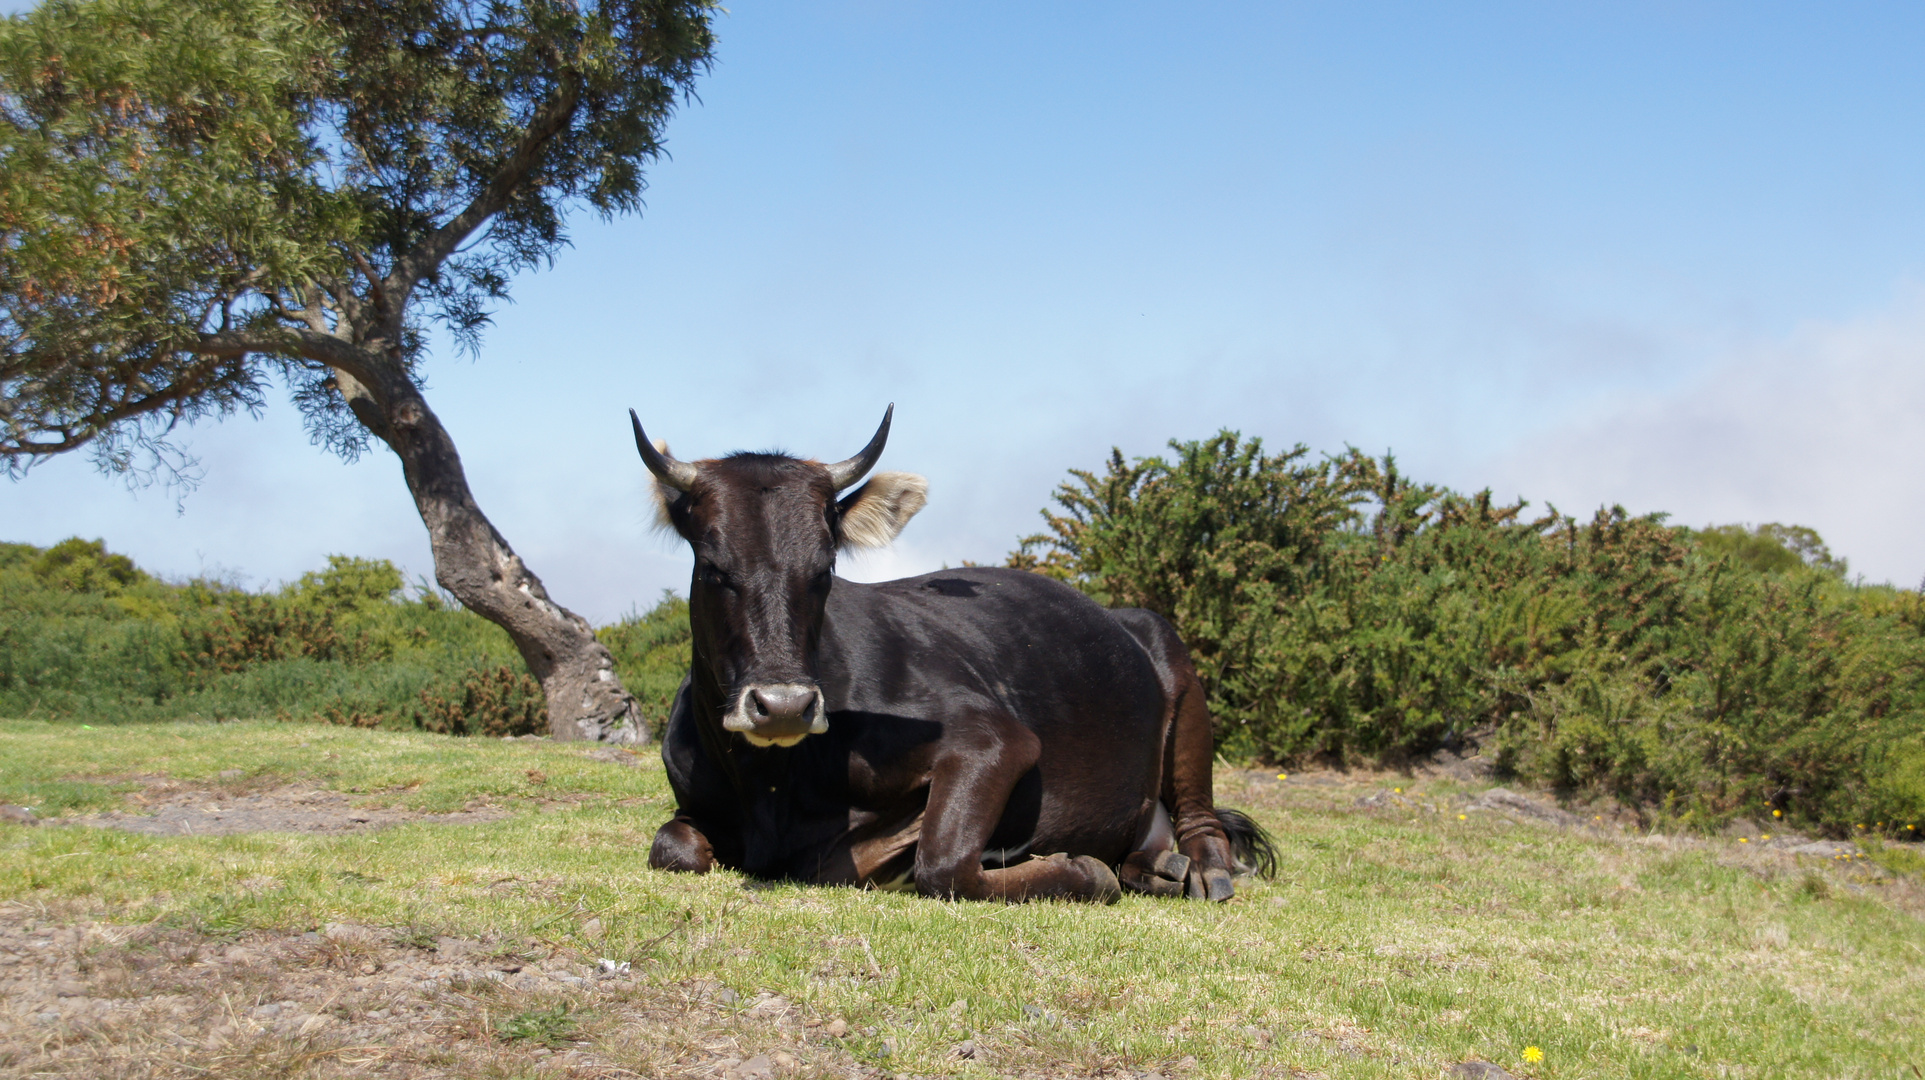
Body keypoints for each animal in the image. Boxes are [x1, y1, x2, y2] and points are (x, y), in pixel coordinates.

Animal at [627, 404, 1262, 900]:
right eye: (713, 568)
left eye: (825, 568)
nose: (783, 706)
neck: (771, 785)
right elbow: (671, 845)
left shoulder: (993, 739)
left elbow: (943, 861)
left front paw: (1078, 868)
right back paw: (1154, 868)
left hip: (1180, 681)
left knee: (1202, 820)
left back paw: (1202, 871)